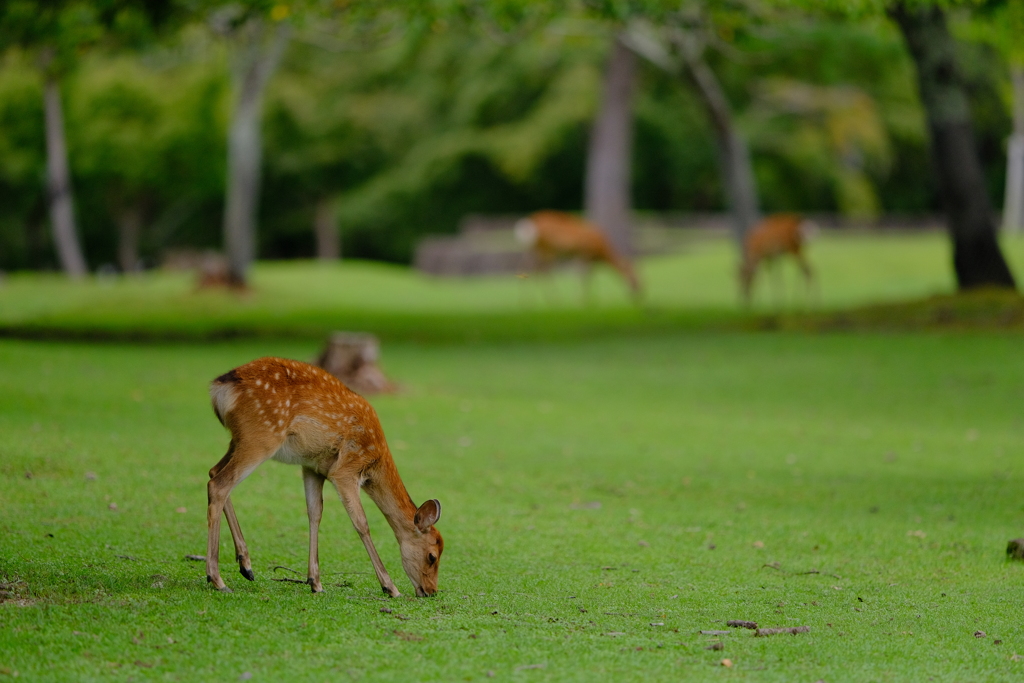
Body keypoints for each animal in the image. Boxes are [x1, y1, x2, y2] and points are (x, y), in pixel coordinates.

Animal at [205, 358, 442, 598]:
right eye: (432, 556)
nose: (431, 591)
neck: (376, 460)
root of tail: (220, 387)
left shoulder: (313, 467)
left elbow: (315, 513)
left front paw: (315, 582)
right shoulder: (346, 469)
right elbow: (361, 523)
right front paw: (390, 587)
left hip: (239, 439)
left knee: (213, 472)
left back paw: (245, 565)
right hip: (261, 436)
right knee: (220, 484)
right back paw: (217, 579)